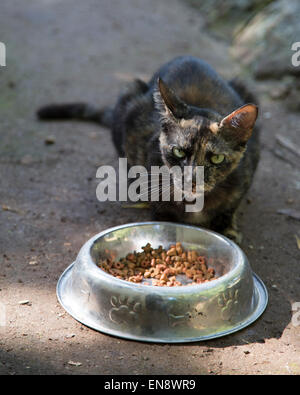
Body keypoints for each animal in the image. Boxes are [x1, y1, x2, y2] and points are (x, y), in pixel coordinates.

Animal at [37, 55, 258, 244]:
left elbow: (229, 207)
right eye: (178, 152)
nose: (191, 180)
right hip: (129, 93)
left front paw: (228, 230)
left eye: (217, 158)